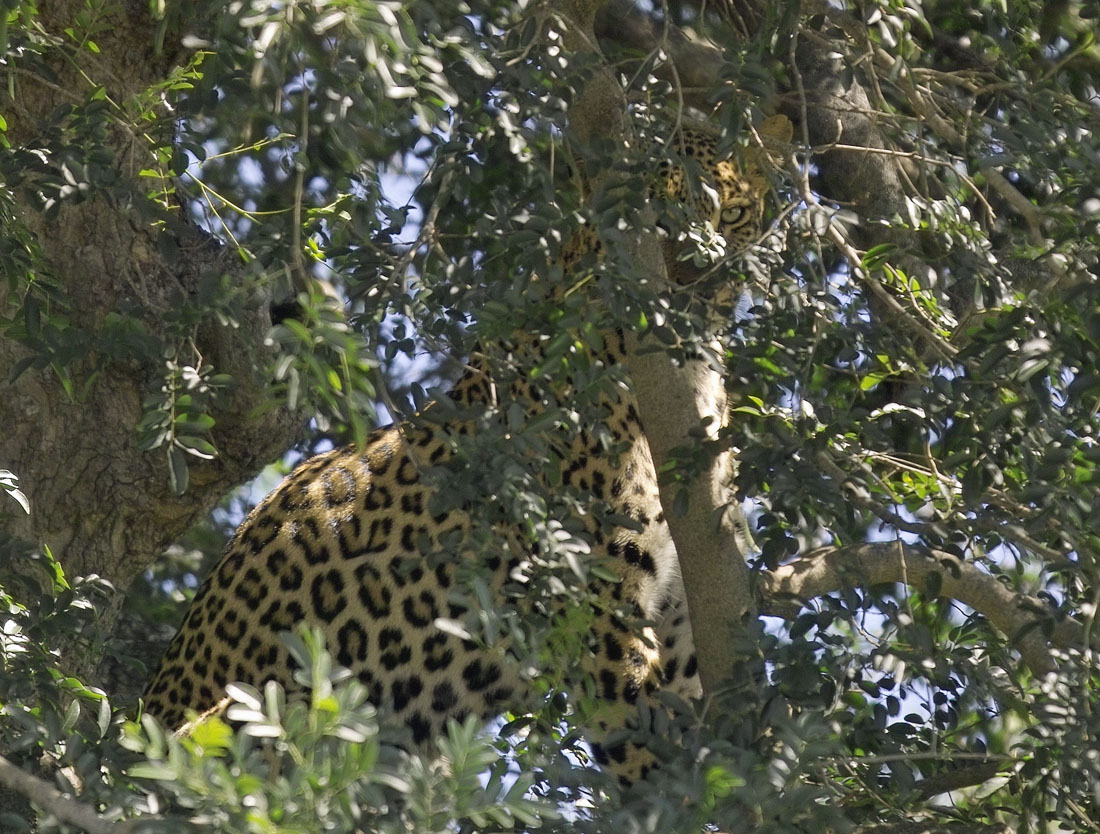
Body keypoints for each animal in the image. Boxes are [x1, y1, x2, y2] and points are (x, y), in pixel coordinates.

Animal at [142, 115, 793, 786]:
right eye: (653, 221)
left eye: (734, 214)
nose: (699, 284)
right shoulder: (598, 615)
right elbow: (653, 766)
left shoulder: (686, 605)